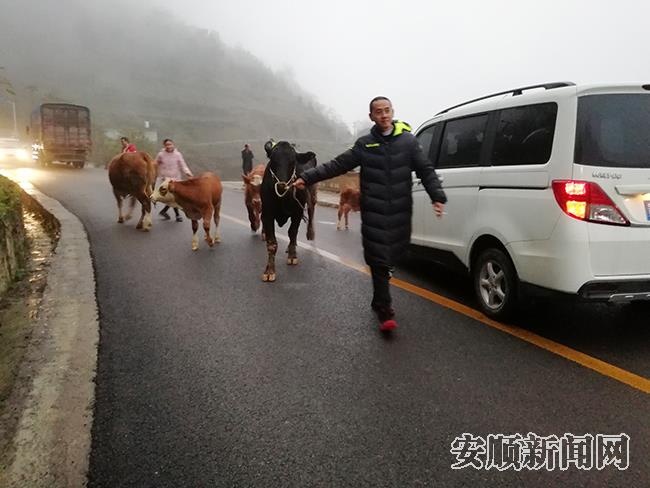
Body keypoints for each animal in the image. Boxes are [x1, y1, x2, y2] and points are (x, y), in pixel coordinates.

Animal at [260, 140, 316, 282]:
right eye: (273, 160)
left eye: (293, 161)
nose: (281, 185)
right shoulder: (267, 214)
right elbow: (272, 243)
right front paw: (269, 271)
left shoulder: (297, 213)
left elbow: (292, 232)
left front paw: (292, 255)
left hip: (312, 196)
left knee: (311, 212)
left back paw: (310, 234)